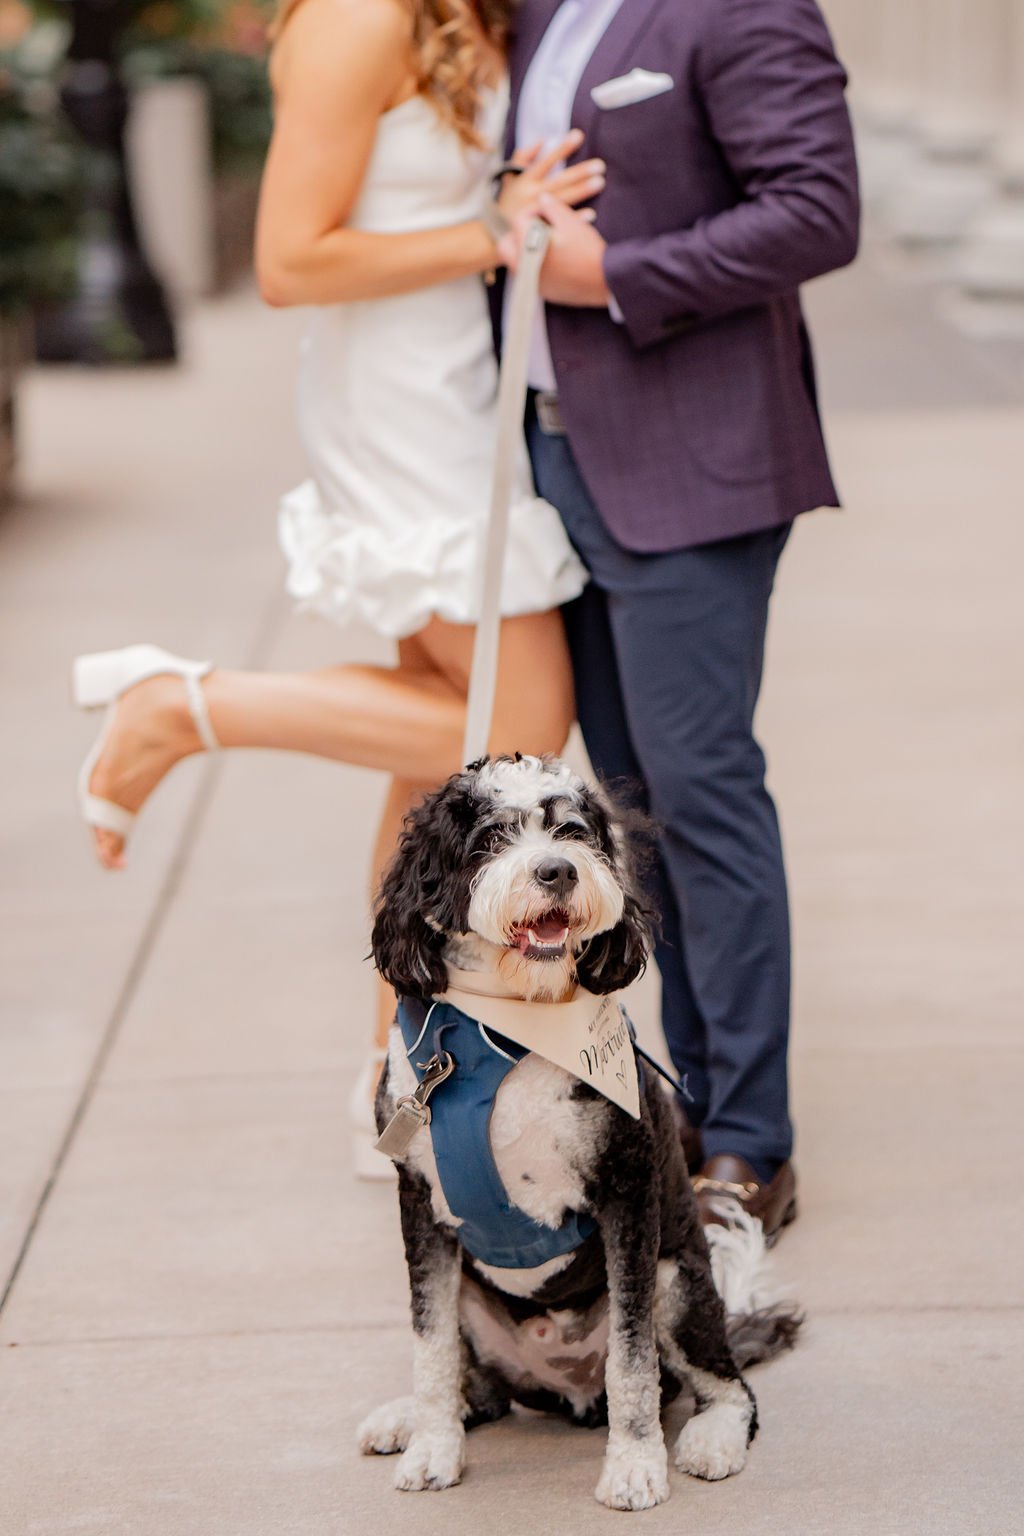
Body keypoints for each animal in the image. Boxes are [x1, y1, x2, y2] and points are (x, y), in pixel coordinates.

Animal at [360, 755, 798, 1511]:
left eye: (573, 832)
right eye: (490, 839)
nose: (557, 871)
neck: (504, 1025)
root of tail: (558, 1386)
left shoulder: (628, 1193)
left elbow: (631, 1358)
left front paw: (635, 1466)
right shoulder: (420, 1204)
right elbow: (430, 1344)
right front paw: (434, 1448)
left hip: (678, 1281)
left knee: (726, 1387)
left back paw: (711, 1438)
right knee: (478, 1388)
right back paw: (409, 1417)